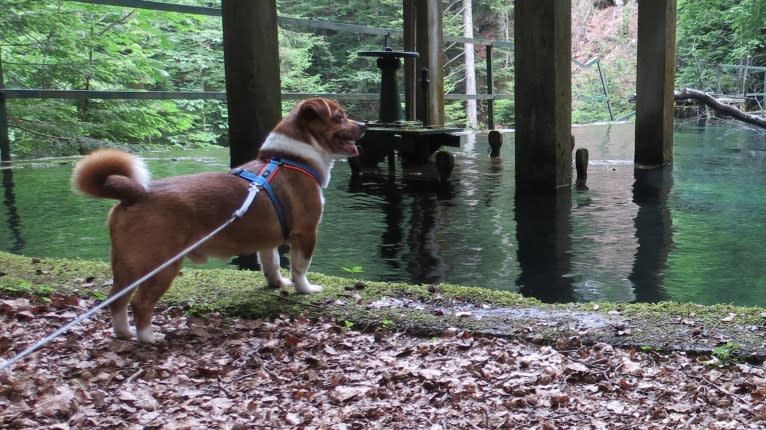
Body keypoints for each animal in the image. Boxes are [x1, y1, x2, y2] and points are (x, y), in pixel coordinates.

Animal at [73, 97, 368, 342]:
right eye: (340, 117)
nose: (364, 125)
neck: (289, 158)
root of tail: (136, 193)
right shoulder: (306, 232)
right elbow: (300, 267)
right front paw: (305, 289)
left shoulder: (267, 240)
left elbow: (271, 263)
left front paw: (277, 284)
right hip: (162, 264)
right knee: (140, 303)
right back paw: (148, 337)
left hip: (127, 266)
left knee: (116, 300)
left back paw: (124, 333)